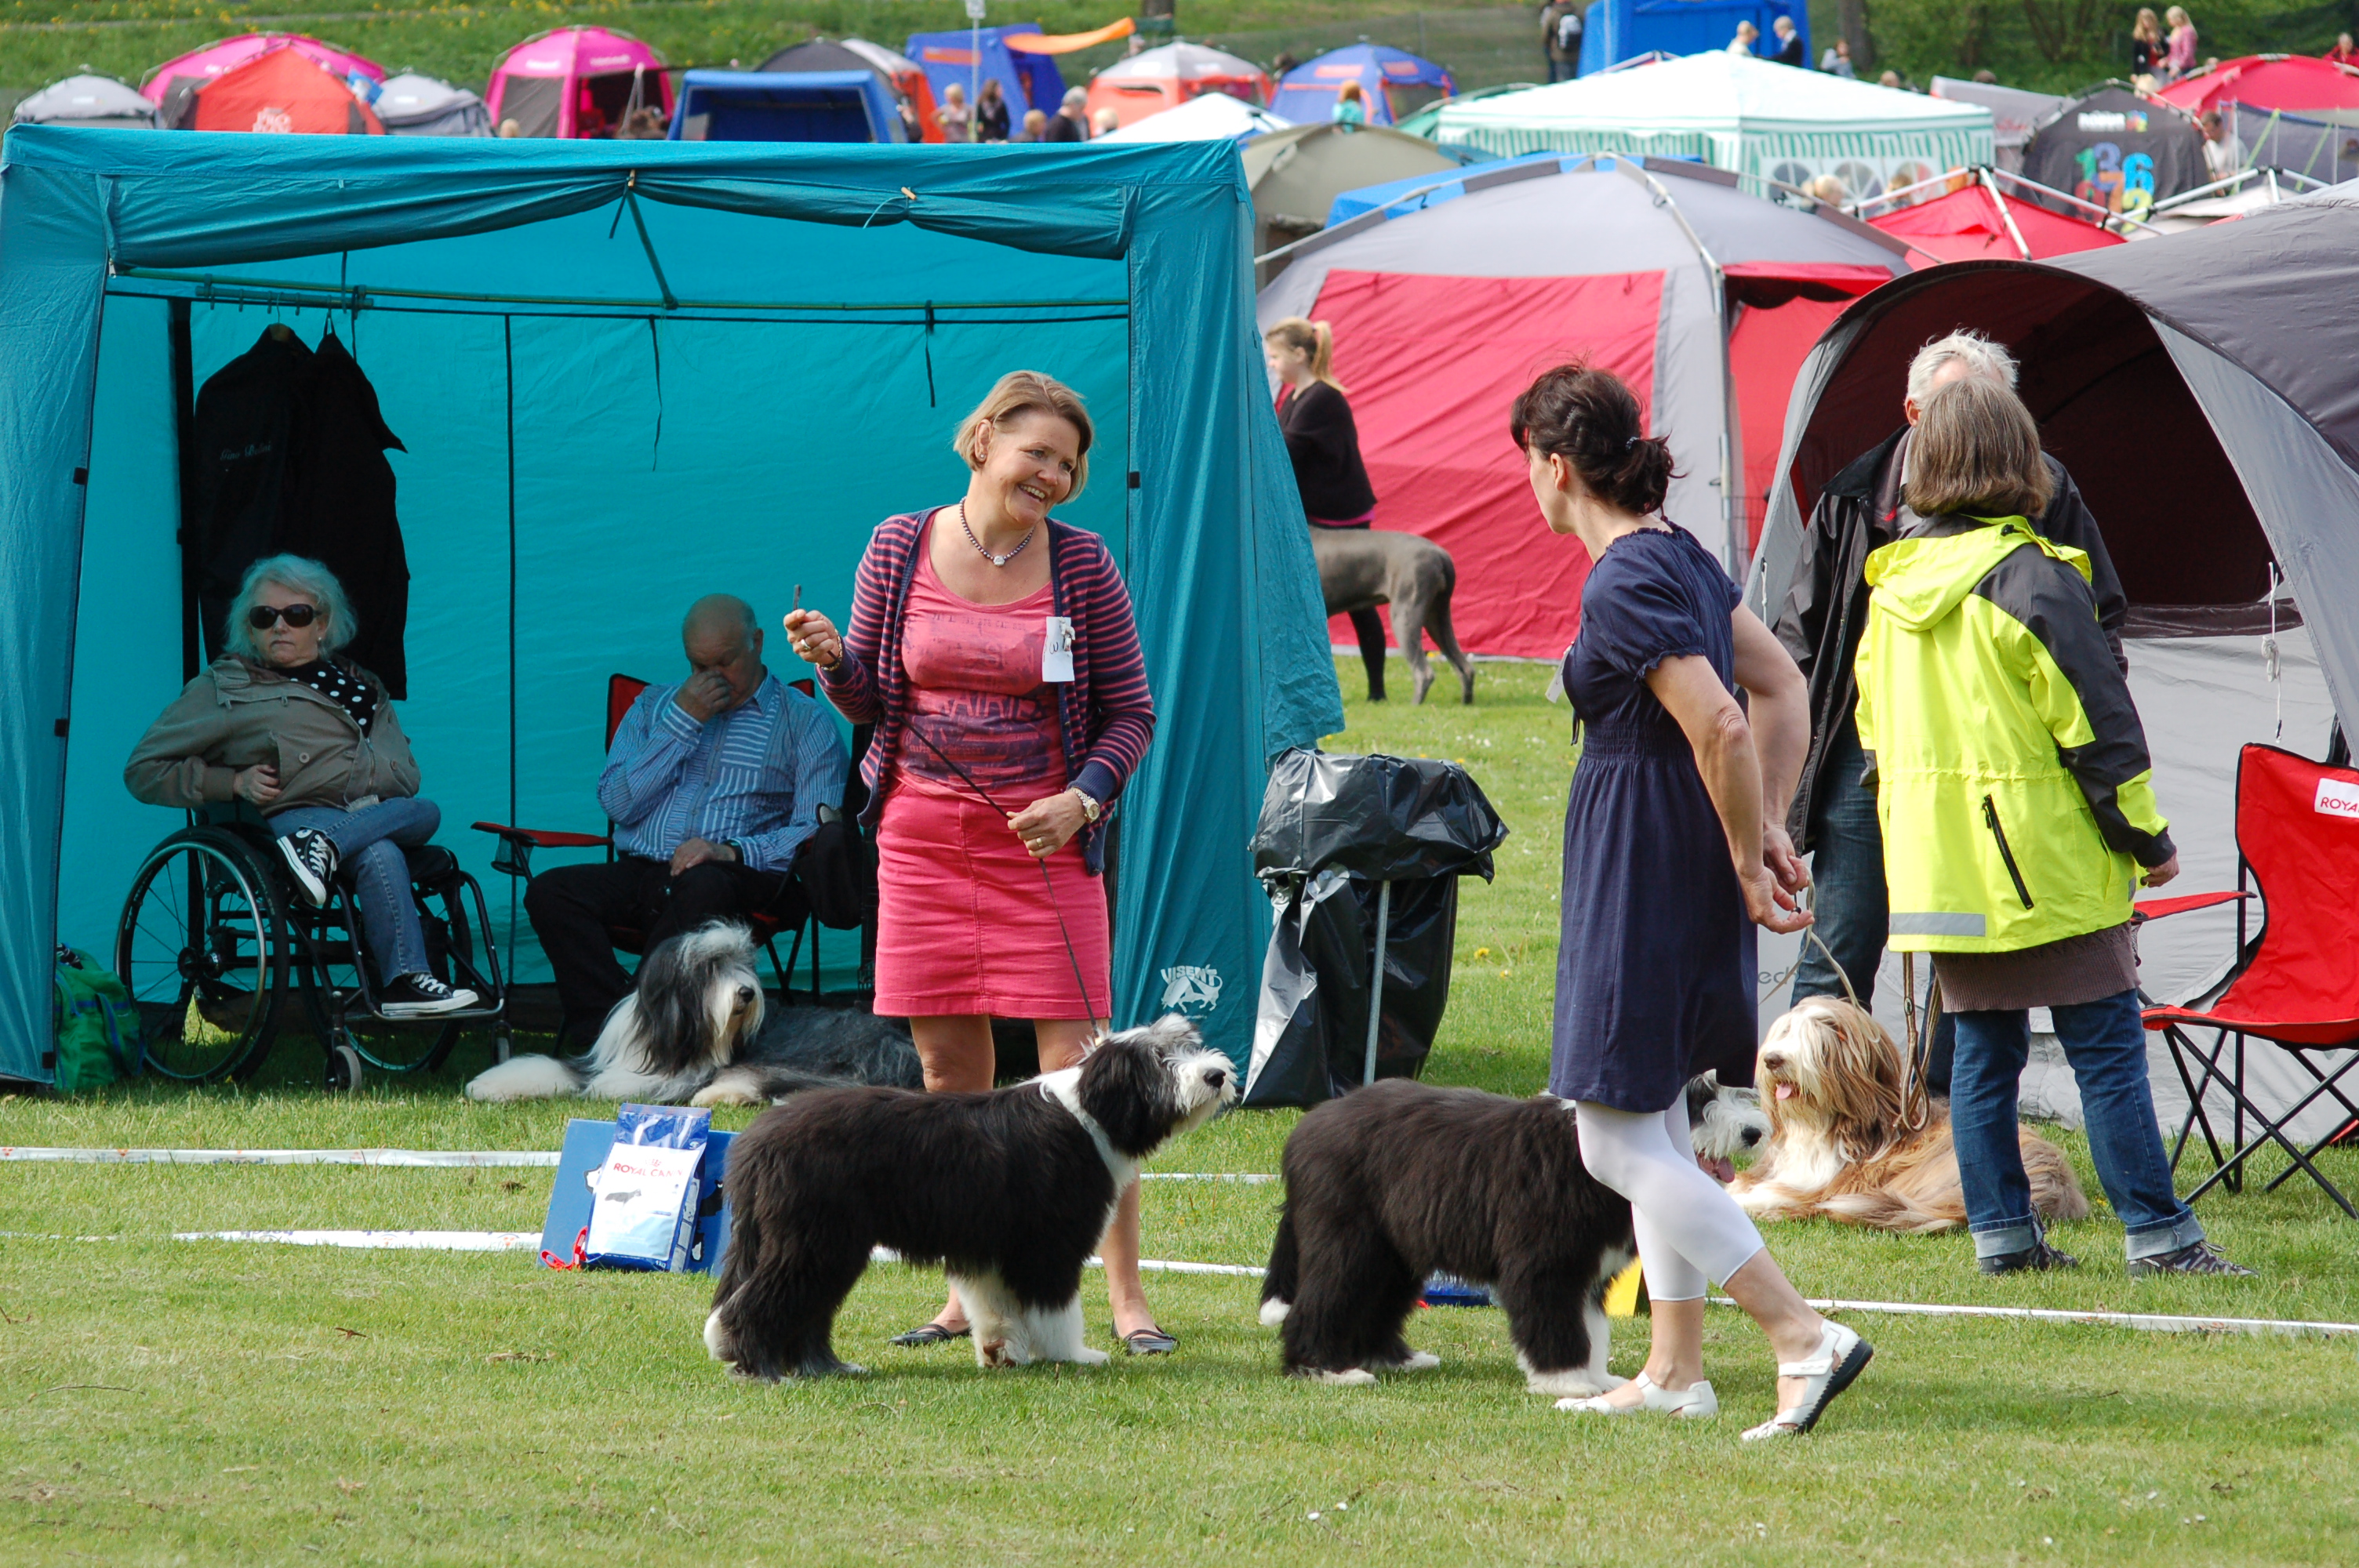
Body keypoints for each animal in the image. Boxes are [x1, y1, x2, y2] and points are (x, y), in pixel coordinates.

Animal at [463, 922, 921, 1105]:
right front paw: (489, 1084)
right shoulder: (602, 1058)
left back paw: (720, 1094)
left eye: (742, 962)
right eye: (710, 966)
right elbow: (555, 1069)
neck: (662, 1035)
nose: (747, 993)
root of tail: (899, 1043)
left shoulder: (688, 1071)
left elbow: (616, 1085)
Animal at [703, 1014, 1237, 1379]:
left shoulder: (987, 1246)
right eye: (1159, 1061)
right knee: (761, 1301)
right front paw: (1074, 1355)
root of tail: (756, 1141)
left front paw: (1002, 1353)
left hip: (817, 1244)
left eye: (1188, 1045)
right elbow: (1058, 1308)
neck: (1089, 1111)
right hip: (815, 1240)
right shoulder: (1050, 1243)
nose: (1216, 1075)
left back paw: (826, 1367)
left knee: (804, 1309)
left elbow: (994, 1308)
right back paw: (759, 1366)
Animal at [1258, 1074, 1766, 1392]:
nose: (1754, 1133)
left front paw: (1598, 1381)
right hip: (1348, 1240)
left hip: (1392, 1250)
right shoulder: (1546, 1263)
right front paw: (1566, 1382)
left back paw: (1392, 1358)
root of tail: (1308, 1127)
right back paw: (1324, 1369)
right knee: (1323, 1299)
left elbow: (1592, 1327)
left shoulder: (1587, 1272)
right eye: (1698, 1099)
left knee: (1376, 1300)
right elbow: (1555, 1320)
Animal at [1310, 526, 1477, 705]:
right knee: (1465, 668)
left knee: (1424, 673)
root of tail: (1441, 555)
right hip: (1437, 615)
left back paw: (1414, 705)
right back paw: (1465, 703)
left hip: (1405, 612)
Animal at [1730, 996, 2089, 1233]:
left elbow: (1776, 1195)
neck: (1821, 1124)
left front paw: (1748, 1204)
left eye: (1815, 1038)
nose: (1773, 1060)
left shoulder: (1829, 1186)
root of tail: (2056, 1185)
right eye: (1784, 1032)